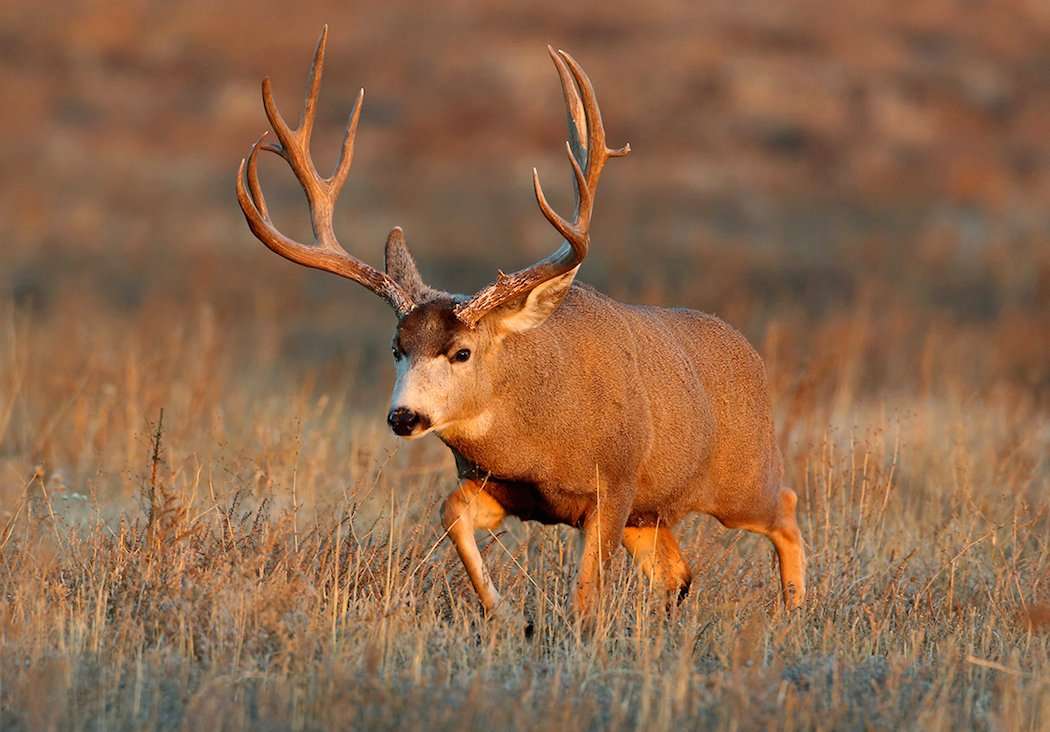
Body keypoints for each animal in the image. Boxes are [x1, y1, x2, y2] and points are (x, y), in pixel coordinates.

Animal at [235, 27, 806, 622]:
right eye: (396, 347)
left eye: (462, 351)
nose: (404, 416)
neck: (536, 440)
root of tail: (748, 351)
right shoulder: (496, 484)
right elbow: (449, 512)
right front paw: (505, 613)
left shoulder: (614, 486)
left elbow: (585, 595)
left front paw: (570, 628)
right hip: (652, 514)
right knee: (679, 573)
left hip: (739, 478)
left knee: (785, 509)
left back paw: (794, 609)